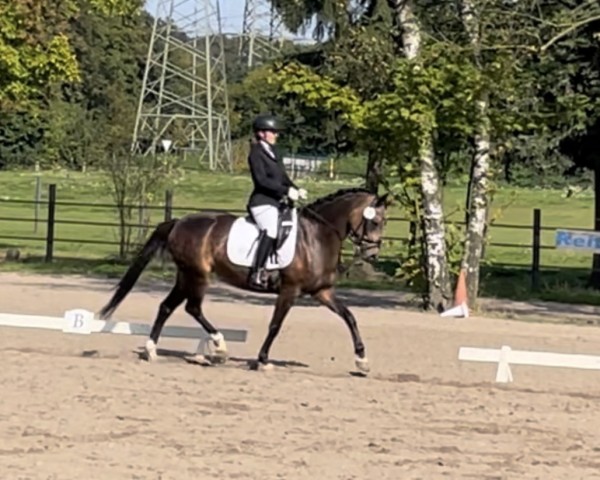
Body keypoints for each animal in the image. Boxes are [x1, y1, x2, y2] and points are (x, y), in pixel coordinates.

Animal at [98, 187, 392, 372]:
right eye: (375, 222)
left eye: (384, 222)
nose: (372, 254)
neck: (317, 235)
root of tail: (179, 222)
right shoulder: (290, 290)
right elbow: (275, 325)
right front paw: (262, 360)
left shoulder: (322, 291)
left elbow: (350, 317)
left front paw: (362, 361)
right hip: (198, 275)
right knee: (193, 307)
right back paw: (219, 347)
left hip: (185, 275)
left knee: (167, 307)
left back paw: (151, 350)